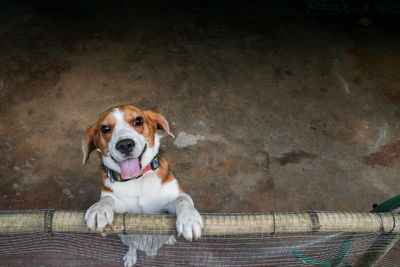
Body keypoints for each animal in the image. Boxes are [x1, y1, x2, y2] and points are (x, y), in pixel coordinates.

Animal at [83, 104, 205, 266]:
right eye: (105, 128)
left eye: (138, 121)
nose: (125, 144)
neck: (137, 180)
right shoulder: (121, 211)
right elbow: (107, 199)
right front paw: (99, 209)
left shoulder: (168, 205)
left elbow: (182, 200)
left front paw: (189, 219)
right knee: (132, 246)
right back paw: (131, 255)